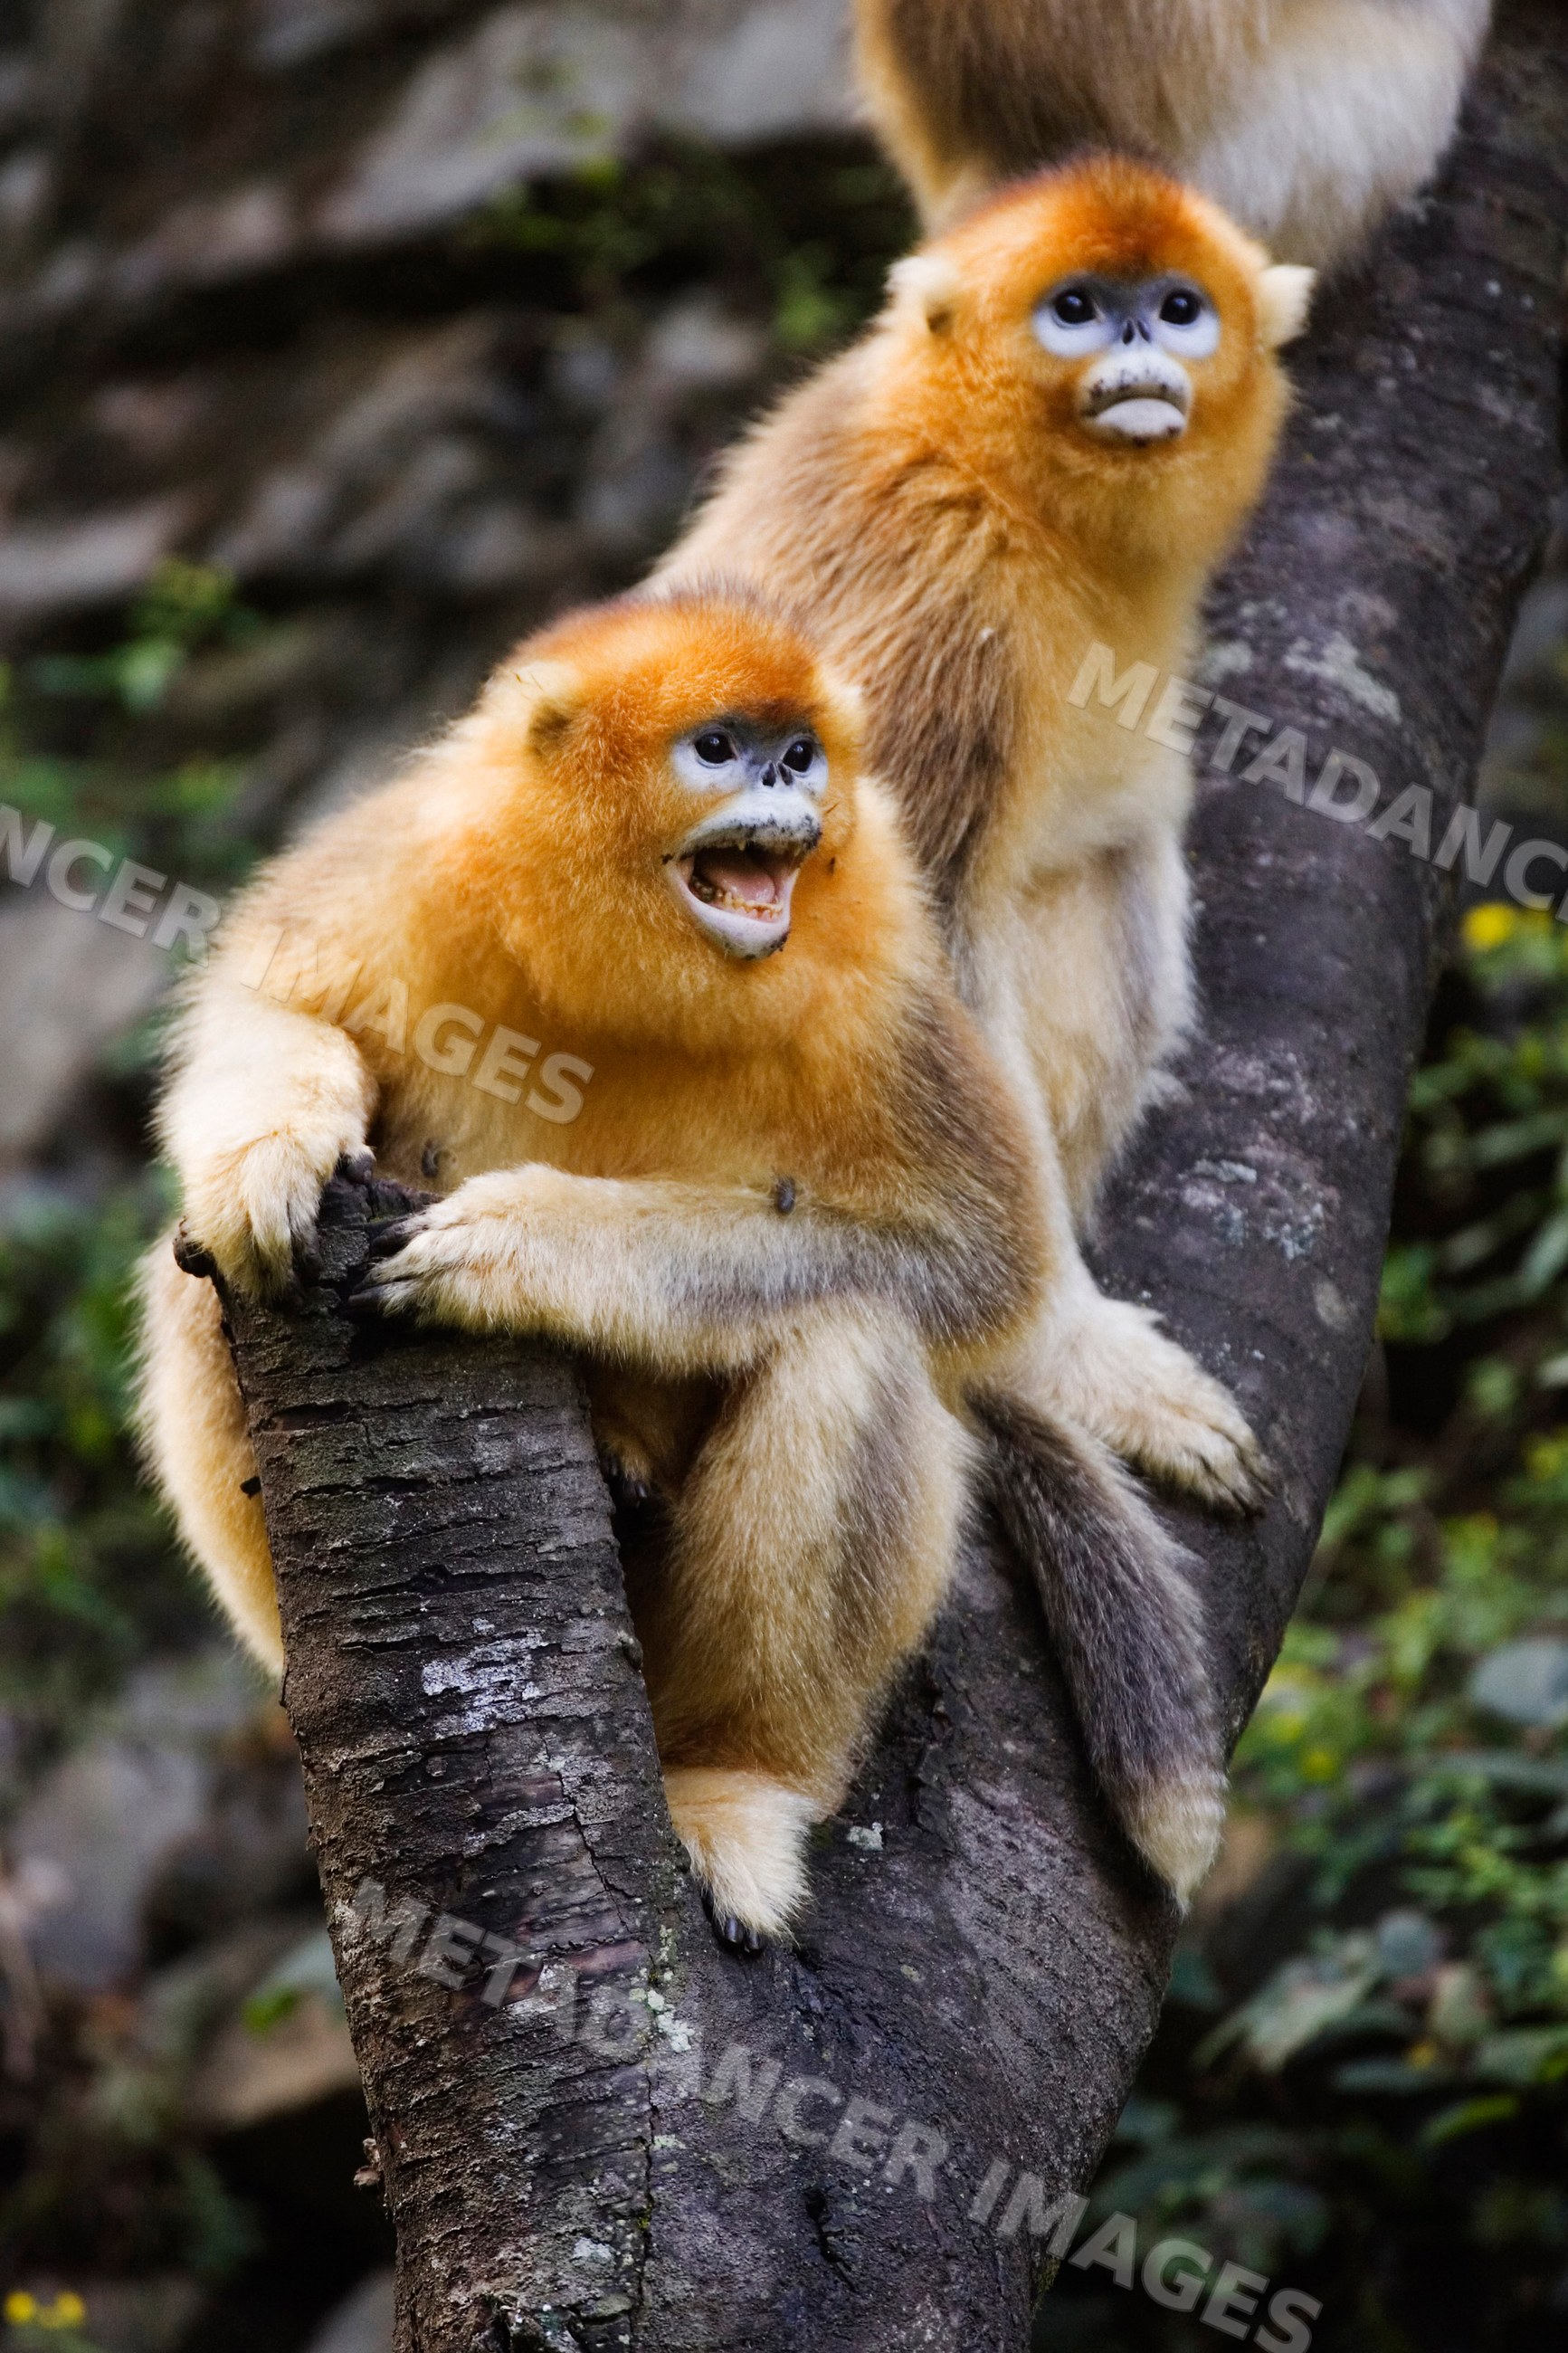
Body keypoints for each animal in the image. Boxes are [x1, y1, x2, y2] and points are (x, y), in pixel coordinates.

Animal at [138, 587, 1225, 1942]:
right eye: (719, 747)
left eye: (799, 751)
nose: (784, 787)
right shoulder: (406, 866)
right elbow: (265, 1008)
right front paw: (275, 1158)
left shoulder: (885, 961)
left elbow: (977, 1259)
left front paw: (523, 1246)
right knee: (192, 1280)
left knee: (851, 1340)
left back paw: (734, 1783)